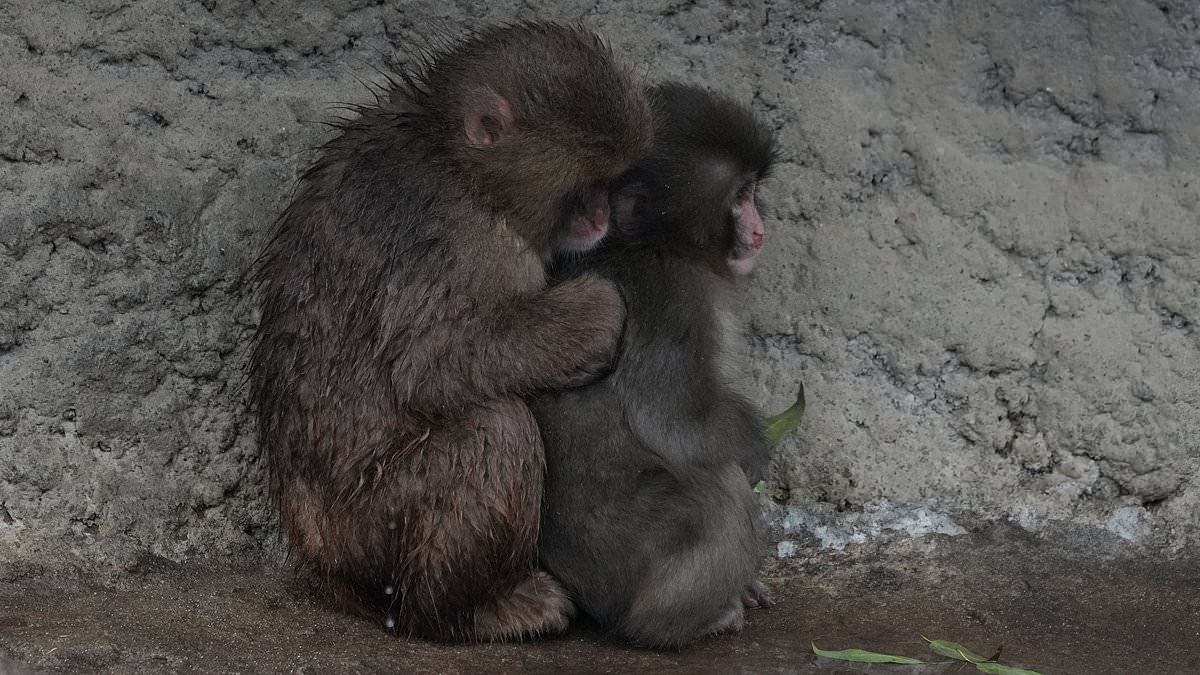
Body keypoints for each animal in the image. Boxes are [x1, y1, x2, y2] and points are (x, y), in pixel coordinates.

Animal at [247, 22, 653, 642]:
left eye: (610, 184)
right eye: (585, 186)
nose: (601, 217)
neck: (458, 165)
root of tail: (323, 560)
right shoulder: (467, 244)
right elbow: (430, 364)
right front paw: (594, 313)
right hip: (376, 524)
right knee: (496, 431)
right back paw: (468, 611)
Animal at [532, 81, 779, 649]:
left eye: (753, 191)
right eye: (740, 197)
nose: (759, 231)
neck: (656, 244)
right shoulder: (674, 297)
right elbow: (676, 419)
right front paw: (756, 449)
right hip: (621, 562)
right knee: (717, 489)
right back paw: (677, 623)